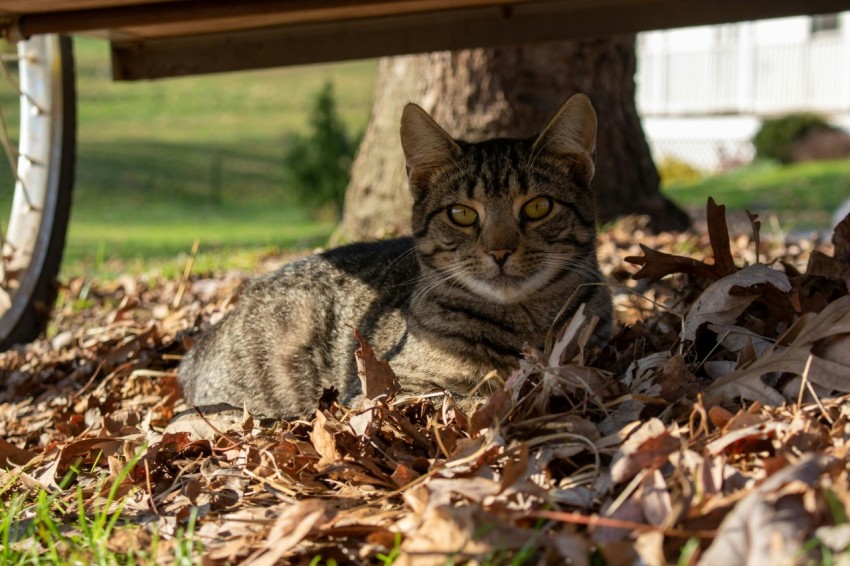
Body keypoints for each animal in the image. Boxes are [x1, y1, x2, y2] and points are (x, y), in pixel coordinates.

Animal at [179, 93, 612, 420]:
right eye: (462, 214)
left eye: (538, 207)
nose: (499, 250)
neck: (524, 327)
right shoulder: (381, 392)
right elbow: (465, 398)